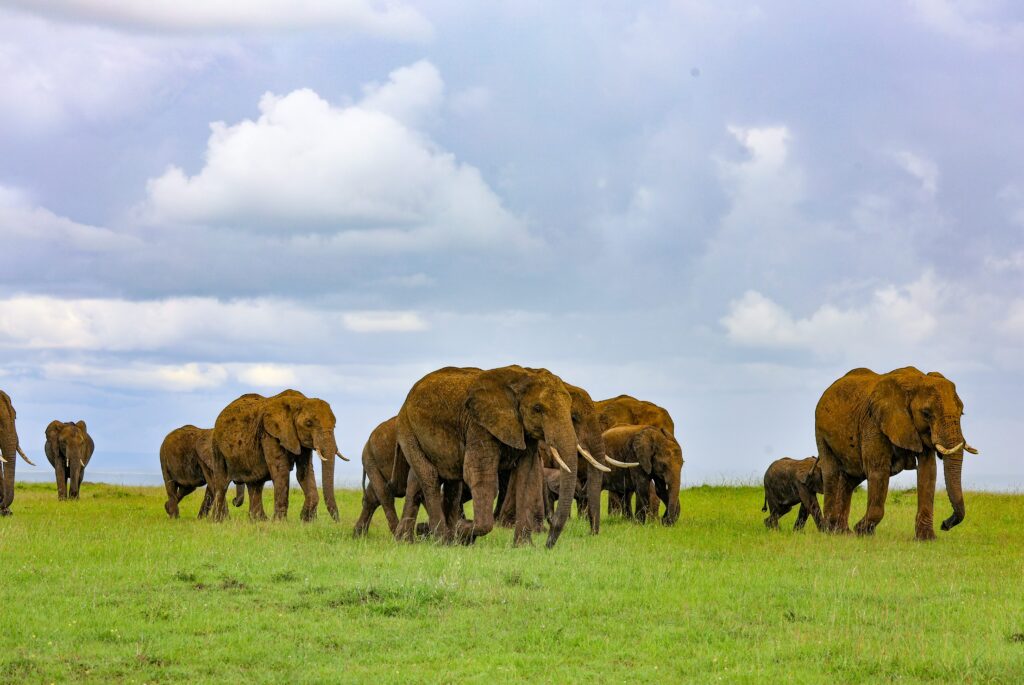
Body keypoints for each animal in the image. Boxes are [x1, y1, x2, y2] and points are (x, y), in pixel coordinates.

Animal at [207, 390, 347, 522]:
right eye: (308, 423)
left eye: (334, 425)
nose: (338, 521)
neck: (298, 401)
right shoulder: (270, 434)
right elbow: (281, 471)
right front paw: (279, 522)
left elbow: (305, 472)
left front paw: (306, 520)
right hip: (217, 447)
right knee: (222, 483)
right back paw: (218, 521)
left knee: (255, 483)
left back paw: (259, 521)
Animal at [395, 365, 581, 547]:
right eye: (537, 408)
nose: (548, 544)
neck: (523, 375)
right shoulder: (479, 426)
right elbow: (480, 476)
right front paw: (461, 529)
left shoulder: (524, 433)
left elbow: (528, 477)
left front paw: (523, 546)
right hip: (407, 429)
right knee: (430, 477)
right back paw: (442, 540)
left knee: (435, 483)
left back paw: (407, 540)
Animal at [815, 367, 978, 540]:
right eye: (926, 413)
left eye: (962, 413)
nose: (945, 524)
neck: (916, 381)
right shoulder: (874, 423)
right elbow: (879, 471)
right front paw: (863, 531)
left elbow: (928, 472)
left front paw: (926, 539)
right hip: (820, 431)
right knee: (831, 472)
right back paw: (830, 531)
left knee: (850, 479)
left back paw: (842, 532)